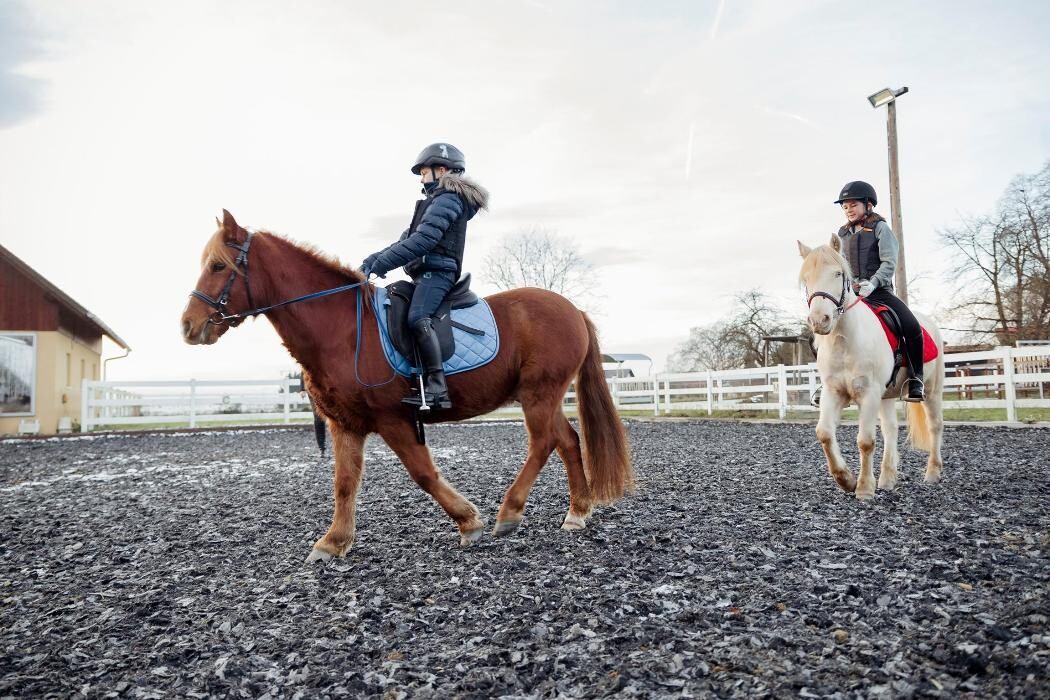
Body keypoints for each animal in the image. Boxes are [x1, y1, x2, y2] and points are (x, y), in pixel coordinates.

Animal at [180, 210, 630, 562]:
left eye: (218, 266)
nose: (188, 326)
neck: (342, 328)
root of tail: (572, 309)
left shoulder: (392, 419)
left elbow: (423, 473)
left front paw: (468, 521)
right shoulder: (346, 424)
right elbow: (344, 484)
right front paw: (333, 542)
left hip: (540, 393)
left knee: (543, 443)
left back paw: (509, 513)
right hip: (543, 396)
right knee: (567, 440)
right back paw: (577, 512)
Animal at [793, 243, 944, 501]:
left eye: (837, 274)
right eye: (806, 279)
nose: (819, 320)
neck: (844, 340)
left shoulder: (869, 393)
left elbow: (865, 441)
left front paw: (863, 488)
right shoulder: (833, 392)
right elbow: (824, 433)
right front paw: (846, 480)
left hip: (932, 392)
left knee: (935, 426)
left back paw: (932, 474)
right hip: (886, 396)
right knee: (890, 429)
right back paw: (887, 479)